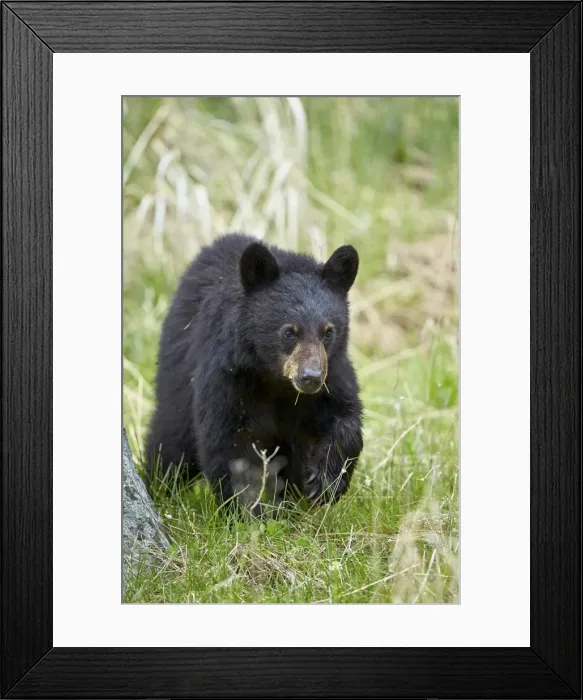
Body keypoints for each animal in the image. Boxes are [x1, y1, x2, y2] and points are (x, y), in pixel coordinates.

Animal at [145, 233, 363, 511]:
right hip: (177, 378)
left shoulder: (333, 373)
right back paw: (160, 487)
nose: (310, 377)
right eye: (289, 331)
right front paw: (245, 510)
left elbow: (345, 417)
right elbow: (229, 443)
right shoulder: (229, 376)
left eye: (328, 331)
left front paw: (324, 482)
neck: (276, 380)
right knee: (171, 441)